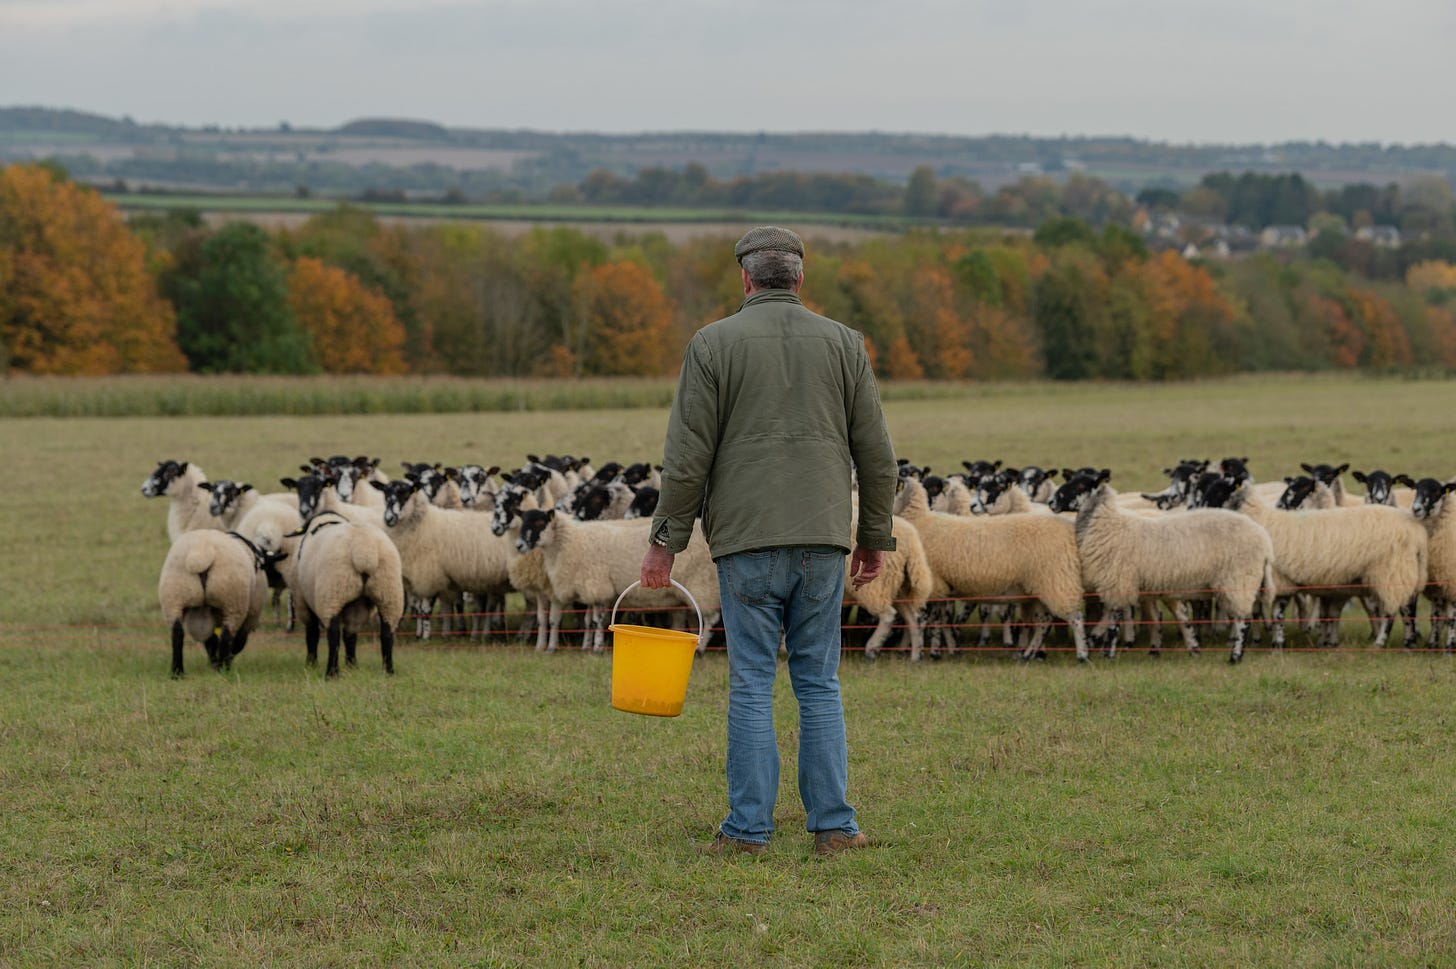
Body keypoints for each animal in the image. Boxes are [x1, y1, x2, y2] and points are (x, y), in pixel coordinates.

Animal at [157, 523, 276, 675]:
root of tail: (201, 554)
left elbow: (210, 641)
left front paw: (213, 662)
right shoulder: (251, 615)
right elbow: (238, 642)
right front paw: (224, 661)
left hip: (173, 598)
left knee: (177, 633)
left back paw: (177, 672)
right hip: (233, 601)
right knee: (227, 636)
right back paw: (223, 669)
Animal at [289, 509, 404, 675]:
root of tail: (364, 550)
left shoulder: (301, 601)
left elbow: (312, 633)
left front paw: (311, 664)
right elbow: (350, 635)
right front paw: (352, 666)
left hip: (333, 592)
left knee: (333, 634)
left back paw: (331, 673)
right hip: (389, 593)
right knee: (386, 634)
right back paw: (388, 671)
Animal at [885, 474, 1083, 657]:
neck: (920, 521)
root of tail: (1068, 527)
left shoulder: (932, 584)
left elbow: (926, 619)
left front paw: (922, 651)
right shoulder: (943, 587)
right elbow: (942, 620)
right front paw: (948, 649)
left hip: (1056, 581)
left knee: (1075, 617)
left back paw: (1081, 655)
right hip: (1040, 587)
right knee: (1044, 622)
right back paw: (1029, 654)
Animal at [1048, 468, 1275, 663]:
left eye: (1080, 485)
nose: (1051, 501)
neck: (1107, 523)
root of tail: (1264, 539)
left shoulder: (1118, 581)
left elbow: (1114, 620)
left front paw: (1108, 654)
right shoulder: (1116, 582)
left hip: (1239, 578)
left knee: (1243, 619)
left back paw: (1235, 657)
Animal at [1223, 480, 1426, 646]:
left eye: (1292, 492)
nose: (1279, 505)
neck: (1262, 519)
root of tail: (1417, 532)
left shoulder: (1281, 580)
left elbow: (1276, 614)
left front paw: (1277, 643)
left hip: (1392, 571)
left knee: (1397, 611)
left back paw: (1383, 642)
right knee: (1406, 608)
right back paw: (1407, 640)